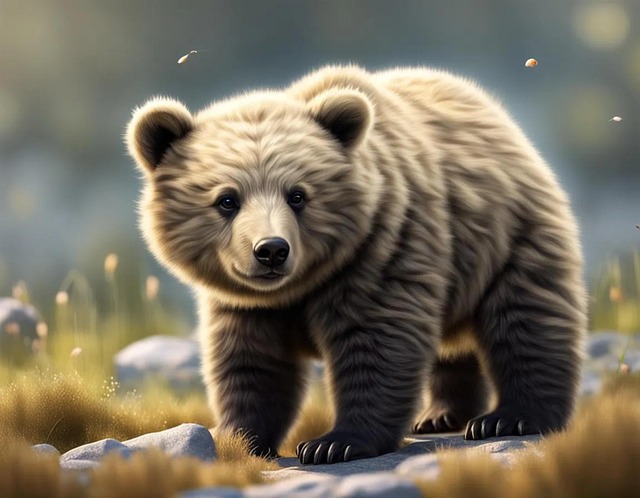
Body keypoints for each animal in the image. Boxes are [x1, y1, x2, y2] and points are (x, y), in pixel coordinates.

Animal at [126, 65, 586, 465]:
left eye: (298, 195)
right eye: (227, 199)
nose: (271, 249)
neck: (301, 285)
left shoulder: (383, 247)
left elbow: (376, 343)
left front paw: (333, 443)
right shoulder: (246, 303)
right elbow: (252, 362)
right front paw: (237, 438)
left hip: (506, 234)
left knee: (525, 319)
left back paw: (510, 418)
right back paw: (439, 414)